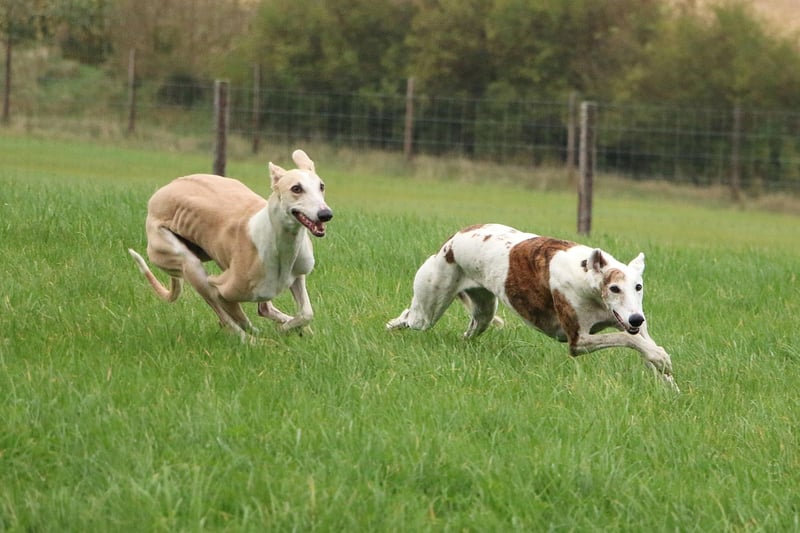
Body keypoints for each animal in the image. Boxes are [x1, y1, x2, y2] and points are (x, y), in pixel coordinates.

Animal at [127, 149, 332, 340]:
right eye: (296, 188)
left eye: (321, 186)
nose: (326, 214)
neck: (280, 242)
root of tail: (160, 193)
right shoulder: (222, 289)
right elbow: (234, 315)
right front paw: (279, 332)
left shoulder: (297, 275)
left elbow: (306, 313)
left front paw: (292, 328)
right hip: (184, 261)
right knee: (230, 318)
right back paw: (252, 339)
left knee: (263, 309)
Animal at [388, 222, 676, 388]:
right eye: (614, 288)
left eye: (638, 287)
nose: (636, 319)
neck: (585, 274)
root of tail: (453, 239)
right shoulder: (577, 341)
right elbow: (628, 339)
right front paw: (661, 358)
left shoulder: (625, 321)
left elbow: (642, 344)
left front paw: (666, 376)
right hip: (428, 308)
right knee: (410, 317)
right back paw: (392, 327)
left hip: (483, 312)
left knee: (470, 331)